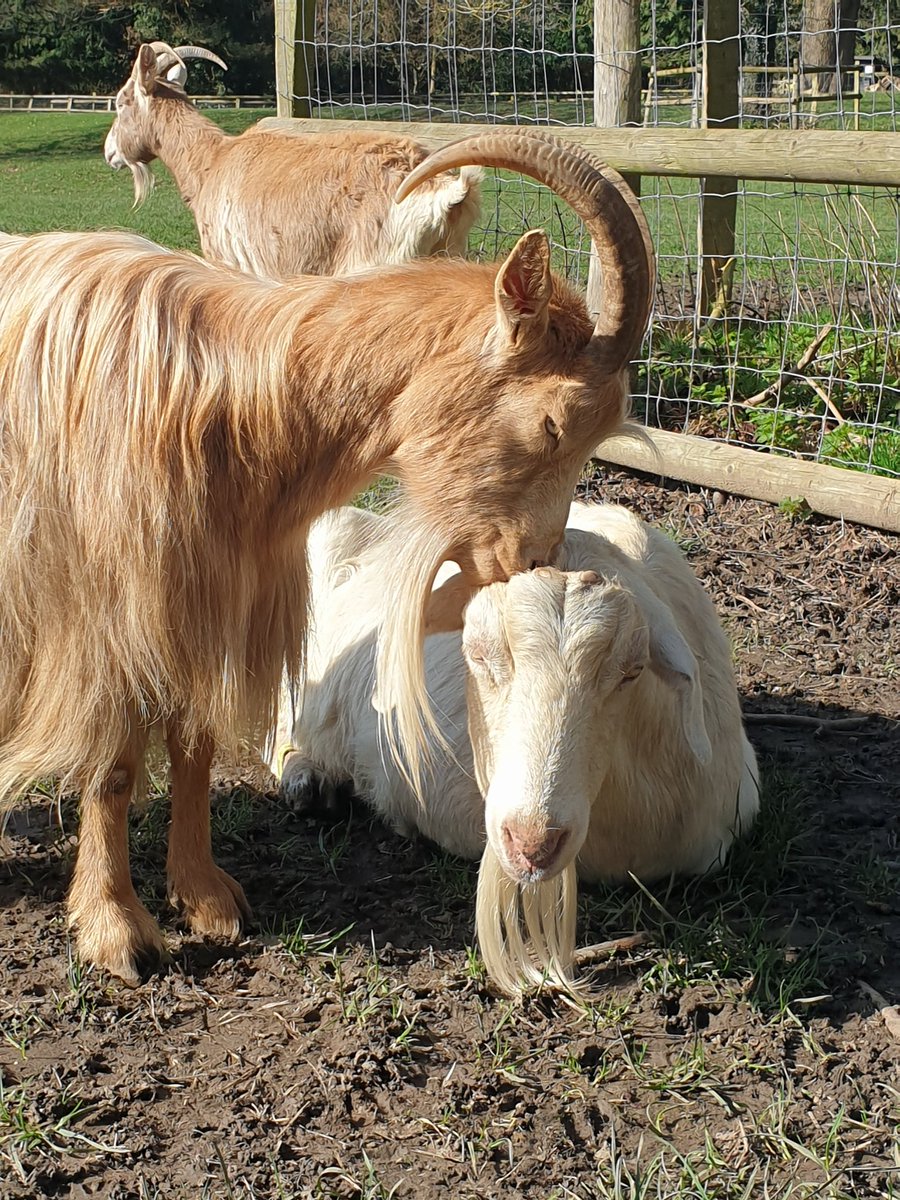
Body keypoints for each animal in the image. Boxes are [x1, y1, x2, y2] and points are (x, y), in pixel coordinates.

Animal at [0, 130, 654, 983]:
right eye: (554, 423)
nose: (532, 559)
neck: (228, 404)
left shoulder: (221, 607)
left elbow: (194, 746)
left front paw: (208, 900)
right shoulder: (108, 619)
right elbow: (112, 767)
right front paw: (117, 931)